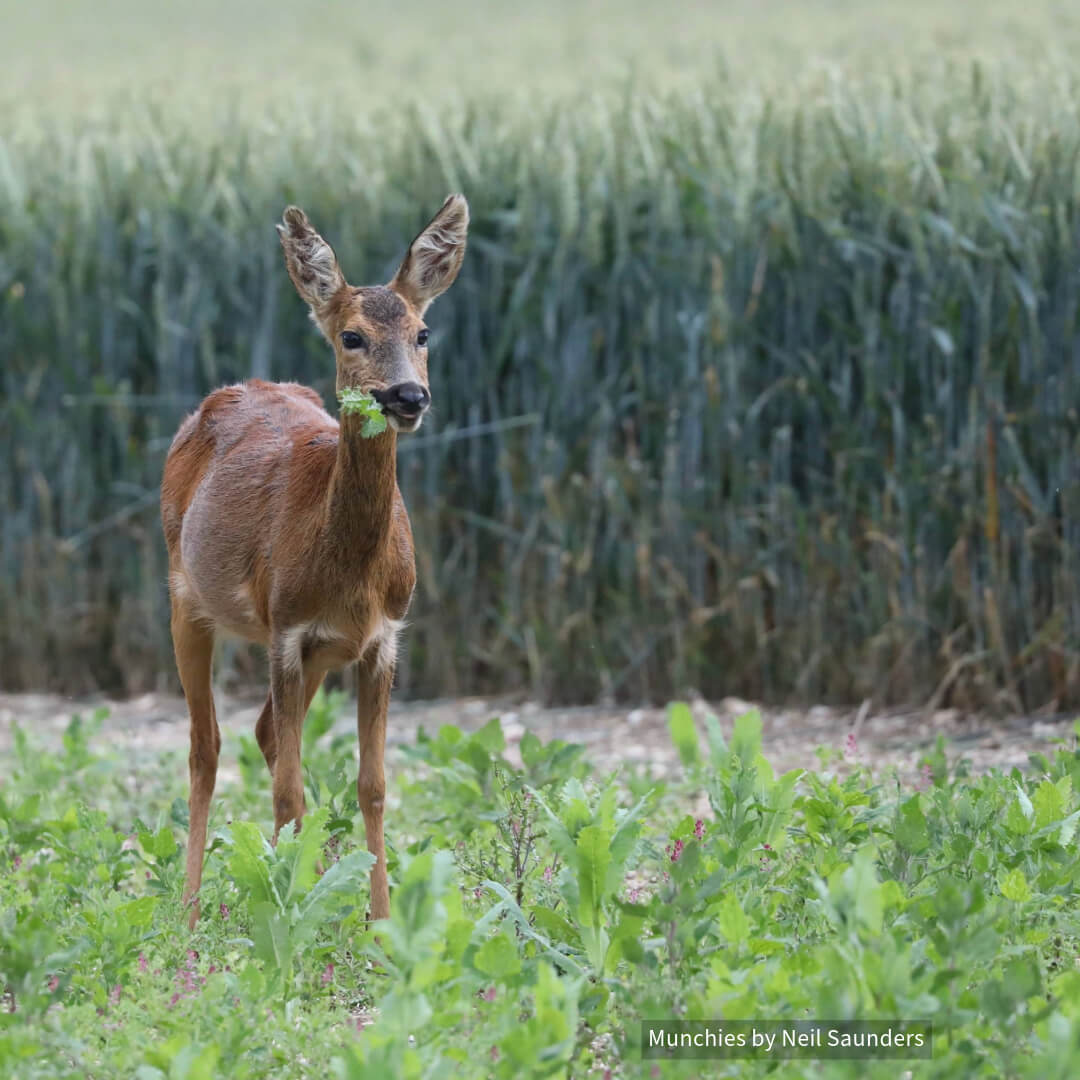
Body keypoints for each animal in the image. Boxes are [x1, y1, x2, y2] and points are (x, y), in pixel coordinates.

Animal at [160, 194, 469, 928]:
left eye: (423, 332)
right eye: (352, 337)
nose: (408, 397)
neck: (349, 573)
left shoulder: (382, 636)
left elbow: (372, 784)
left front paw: (378, 920)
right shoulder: (286, 629)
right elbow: (287, 790)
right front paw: (288, 913)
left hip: (323, 653)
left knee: (266, 735)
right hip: (185, 597)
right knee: (206, 747)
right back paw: (189, 910)